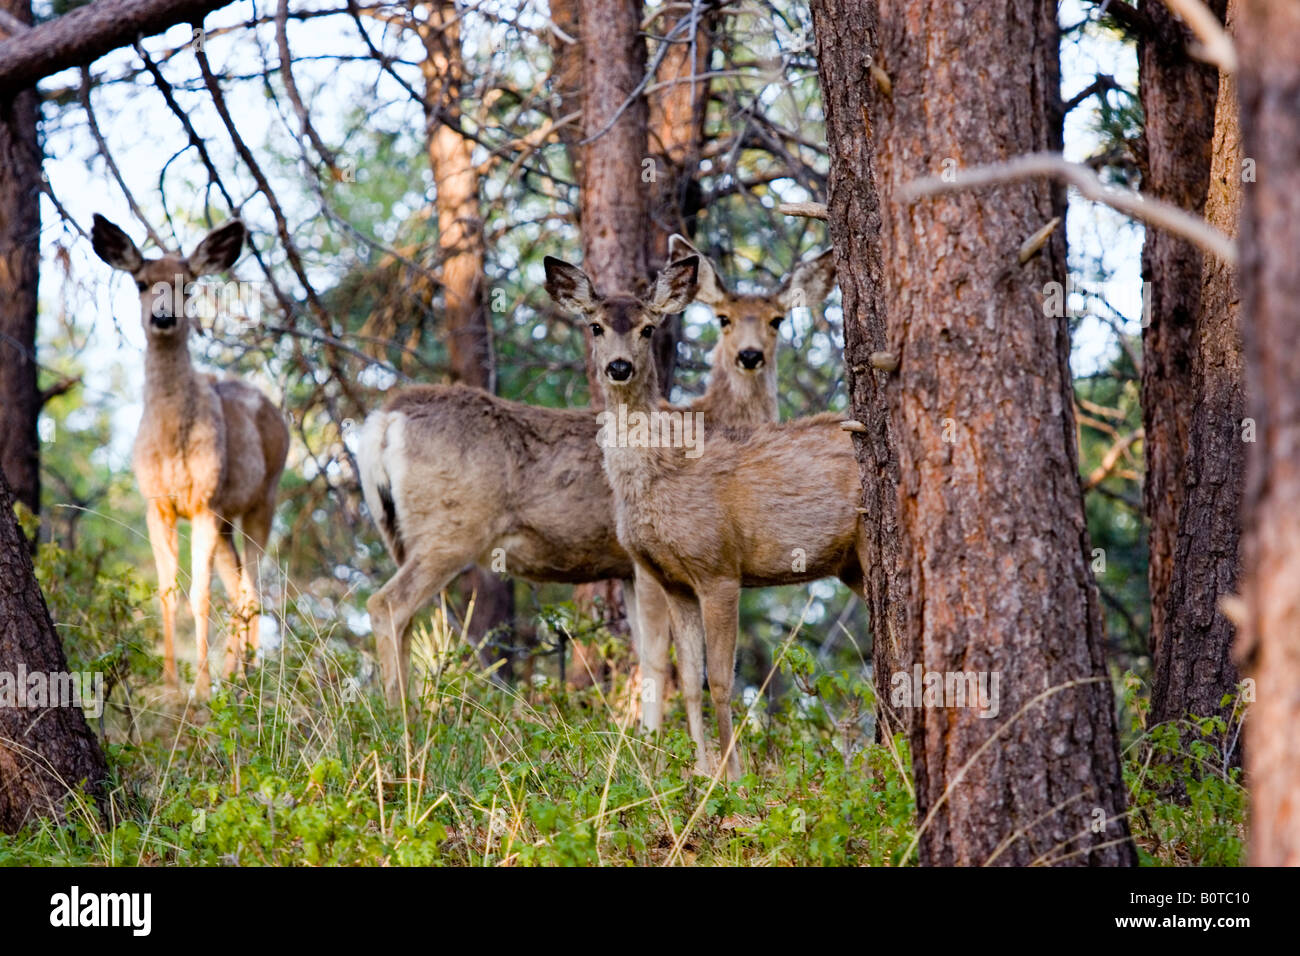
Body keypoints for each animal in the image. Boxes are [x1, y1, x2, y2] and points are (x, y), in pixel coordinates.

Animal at [91, 215, 289, 699]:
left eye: (188, 286)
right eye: (141, 282)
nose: (163, 317)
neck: (171, 442)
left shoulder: (203, 502)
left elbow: (200, 594)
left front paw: (199, 686)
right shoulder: (156, 504)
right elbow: (167, 592)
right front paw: (169, 684)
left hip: (263, 499)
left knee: (252, 591)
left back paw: (243, 677)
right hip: (227, 519)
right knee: (241, 589)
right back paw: (237, 675)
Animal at [359, 244, 835, 711]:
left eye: (777, 319)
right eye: (724, 319)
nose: (750, 356)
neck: (709, 420)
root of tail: (385, 419)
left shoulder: (625, 567)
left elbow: (645, 653)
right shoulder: (645, 561)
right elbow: (658, 658)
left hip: (398, 532)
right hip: (451, 528)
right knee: (387, 604)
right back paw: (400, 717)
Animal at [544, 254, 865, 781]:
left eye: (648, 328)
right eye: (595, 326)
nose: (618, 367)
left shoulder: (720, 567)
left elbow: (719, 680)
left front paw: (732, 778)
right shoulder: (672, 579)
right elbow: (689, 679)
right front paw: (699, 770)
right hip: (851, 565)